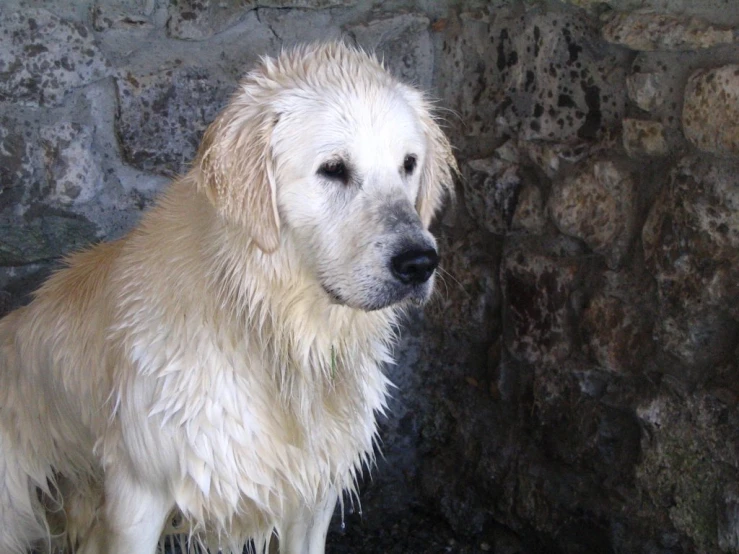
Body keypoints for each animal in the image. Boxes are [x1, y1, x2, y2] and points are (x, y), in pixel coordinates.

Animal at [0, 43, 456, 552]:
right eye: (334, 169)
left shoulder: (313, 494)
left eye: (409, 164)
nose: (420, 263)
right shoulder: (139, 493)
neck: (269, 326)